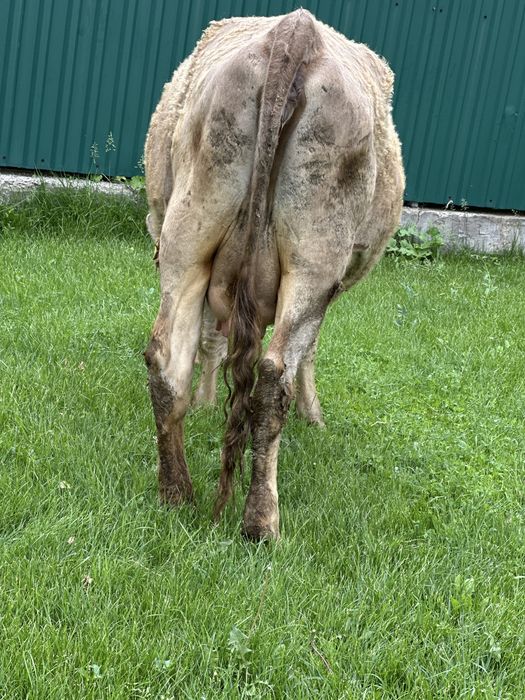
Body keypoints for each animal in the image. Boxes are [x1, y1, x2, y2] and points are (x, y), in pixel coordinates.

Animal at [143, 10, 405, 540]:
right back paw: (261, 522)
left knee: (166, 359)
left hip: (187, 234)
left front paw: (205, 400)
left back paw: (176, 493)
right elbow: (308, 352)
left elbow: (212, 337)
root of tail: (294, 34)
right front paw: (314, 415)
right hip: (315, 258)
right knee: (272, 375)